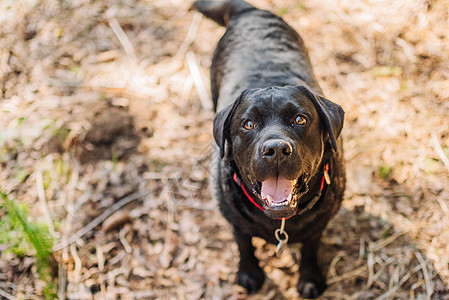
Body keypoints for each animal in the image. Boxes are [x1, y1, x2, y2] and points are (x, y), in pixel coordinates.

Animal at [194, 0, 344, 298]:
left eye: (300, 119)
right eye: (248, 124)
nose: (275, 149)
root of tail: (248, 11)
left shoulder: (321, 222)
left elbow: (311, 245)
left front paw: (310, 278)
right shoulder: (233, 217)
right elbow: (242, 241)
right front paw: (249, 273)